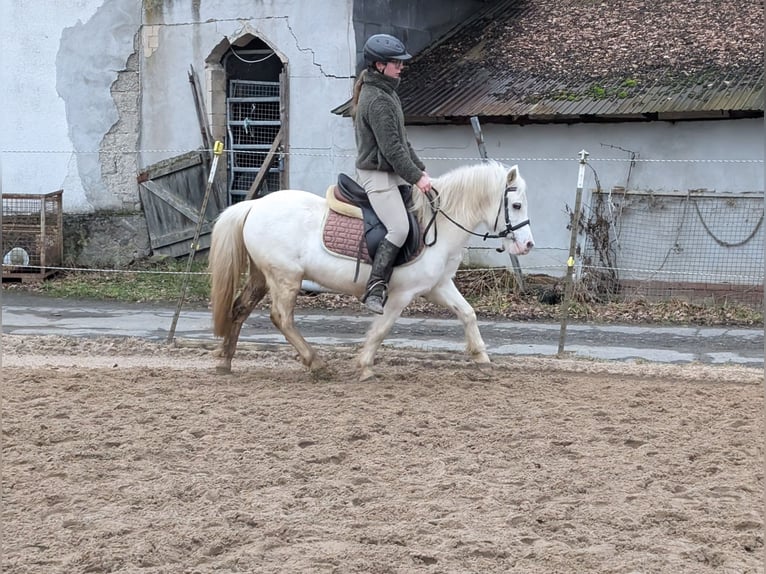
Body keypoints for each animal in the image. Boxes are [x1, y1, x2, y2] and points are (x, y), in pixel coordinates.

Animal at [209, 160, 534, 381]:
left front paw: (481, 357)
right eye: (517, 205)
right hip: (285, 278)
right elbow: (382, 328)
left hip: (262, 276)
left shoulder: (438, 286)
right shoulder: (402, 294)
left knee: (240, 308)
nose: (528, 244)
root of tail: (254, 205)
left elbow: (467, 313)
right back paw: (317, 364)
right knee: (281, 318)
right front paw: (364, 365)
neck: (438, 223)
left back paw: (225, 362)